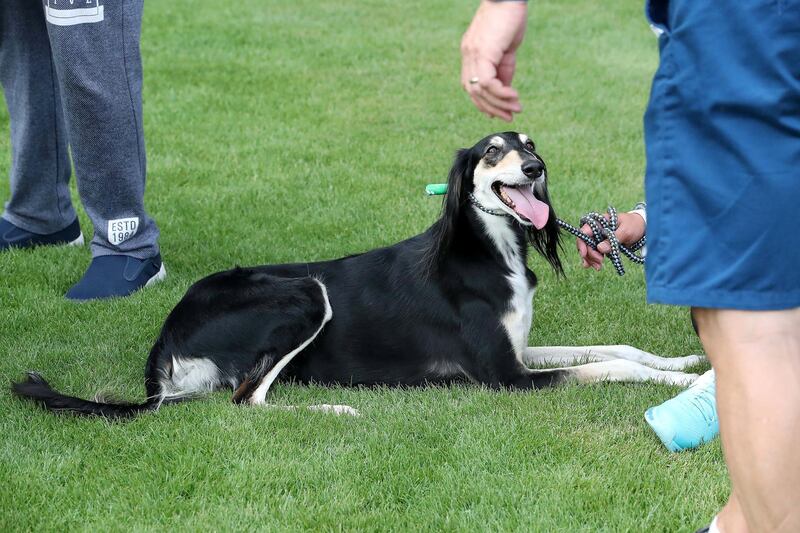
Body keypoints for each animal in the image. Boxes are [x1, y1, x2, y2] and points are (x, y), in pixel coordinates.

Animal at [10, 132, 700, 416]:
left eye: (530, 146)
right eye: (493, 153)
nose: (534, 169)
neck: (486, 251)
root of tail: (165, 338)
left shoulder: (521, 350)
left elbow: (618, 348)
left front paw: (684, 362)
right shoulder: (505, 376)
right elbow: (610, 367)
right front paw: (686, 380)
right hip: (304, 293)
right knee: (244, 402)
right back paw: (340, 407)